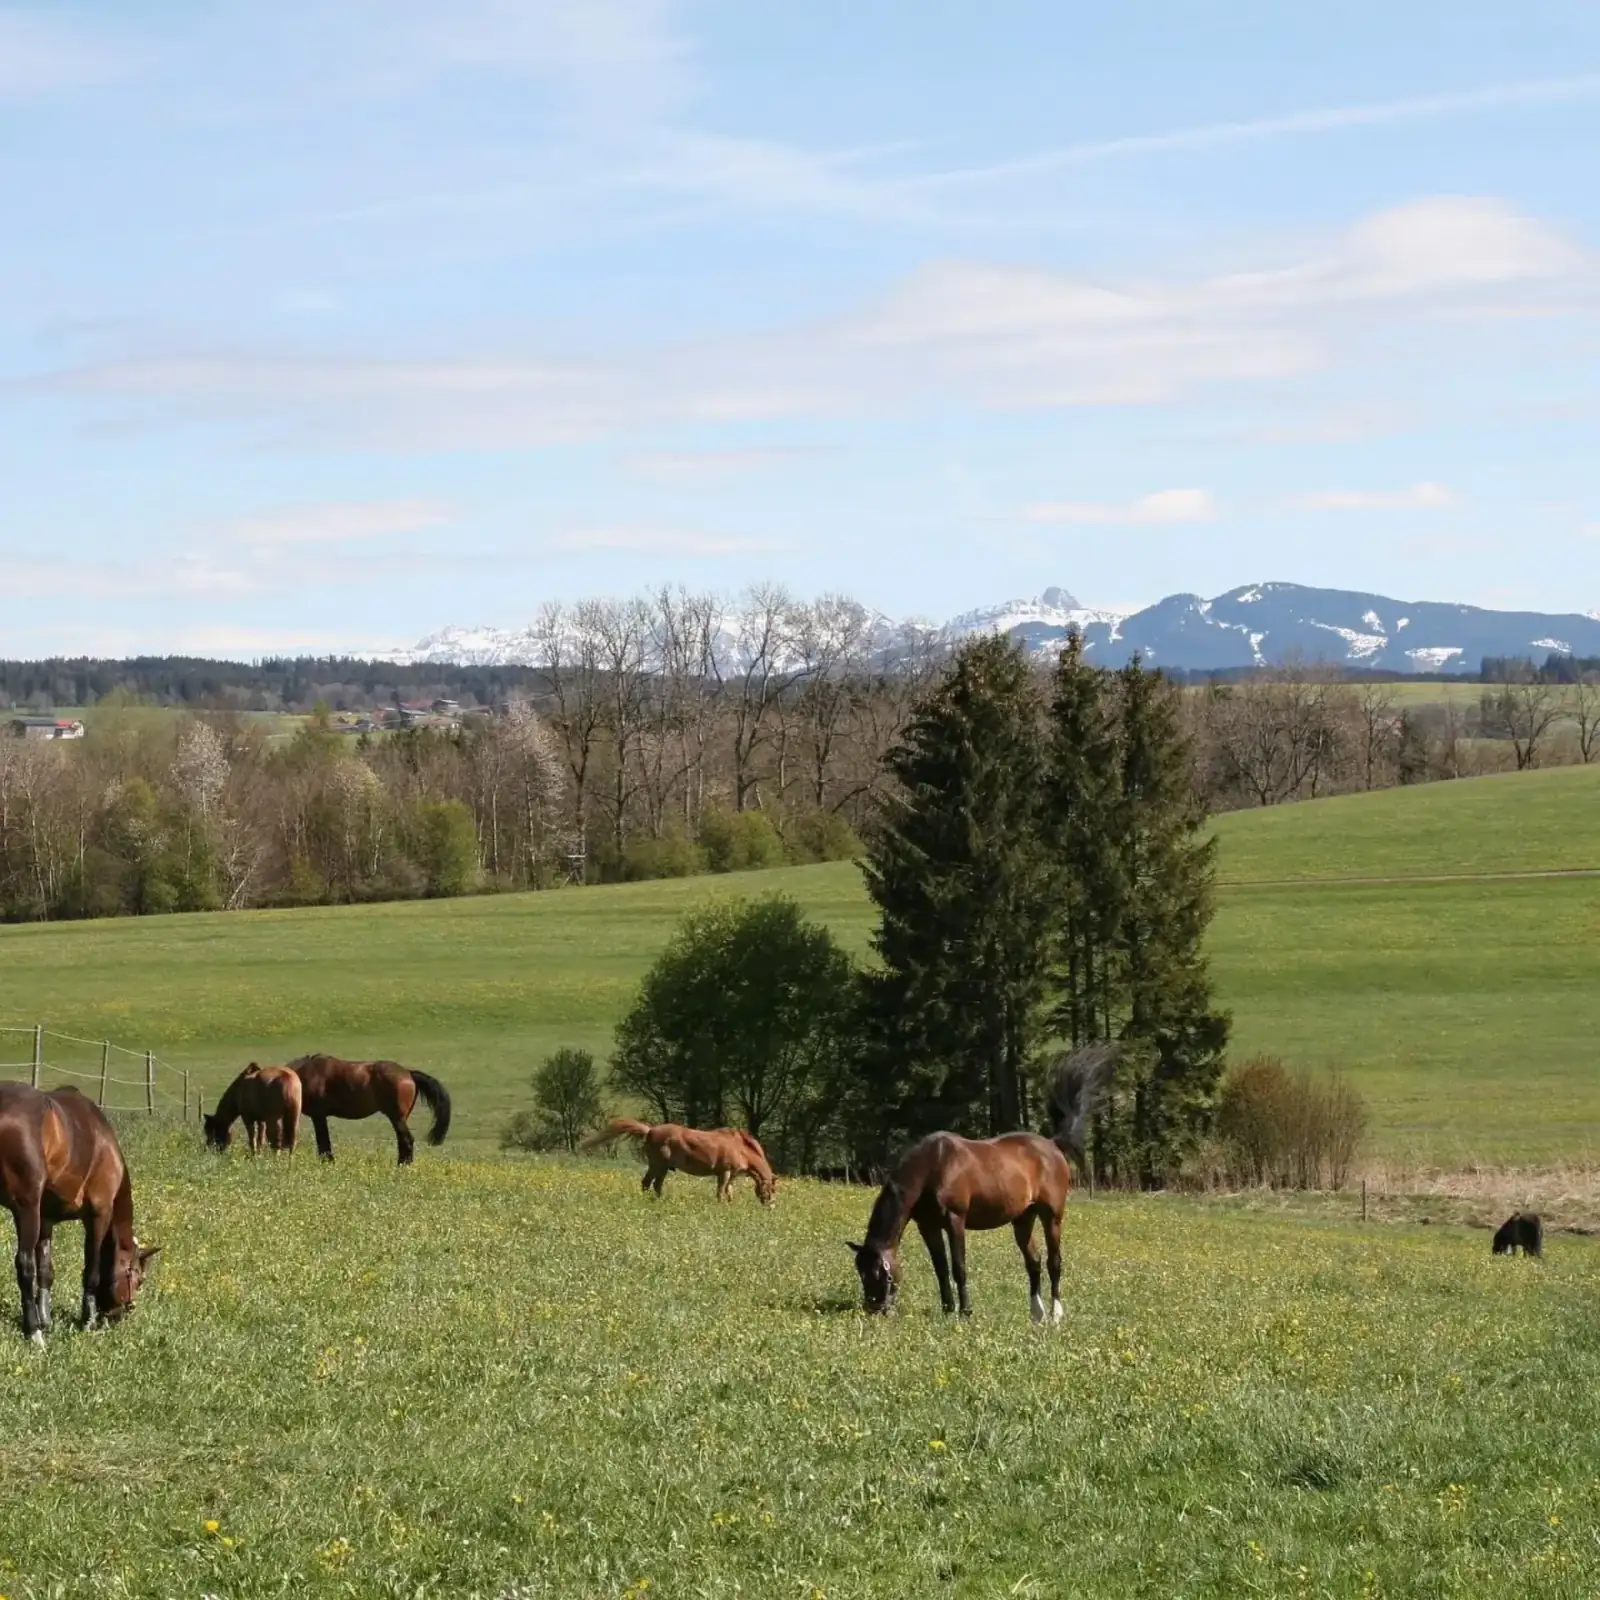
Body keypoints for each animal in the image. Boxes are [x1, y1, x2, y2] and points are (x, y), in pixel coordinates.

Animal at [0, 1082, 160, 1342]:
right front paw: (87, 1320)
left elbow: (46, 1271)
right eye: (139, 1278)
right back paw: (34, 1333)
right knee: (24, 1265)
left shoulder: (46, 1220)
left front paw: (46, 1319)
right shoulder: (98, 1215)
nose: (120, 1316)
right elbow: (91, 1270)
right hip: (27, 1210)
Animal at [583, 1118, 777, 1204]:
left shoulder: (732, 1175)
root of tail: (650, 1130)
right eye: (772, 1190)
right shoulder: (724, 1172)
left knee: (653, 1184)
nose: (770, 1207)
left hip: (662, 1168)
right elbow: (721, 1191)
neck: (740, 1148)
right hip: (658, 1165)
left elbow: (729, 1192)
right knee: (649, 1183)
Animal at [848, 1044, 1115, 1322]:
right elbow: (940, 1268)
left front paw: (965, 1311)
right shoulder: (928, 1227)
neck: (934, 1167)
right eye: (861, 1272)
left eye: (881, 1273)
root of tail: (1053, 1145)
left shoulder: (955, 1221)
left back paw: (1055, 1314)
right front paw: (947, 1309)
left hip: (1051, 1215)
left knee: (1054, 1262)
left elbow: (958, 1266)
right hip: (1023, 1218)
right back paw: (1036, 1315)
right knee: (1033, 1261)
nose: (875, 1308)